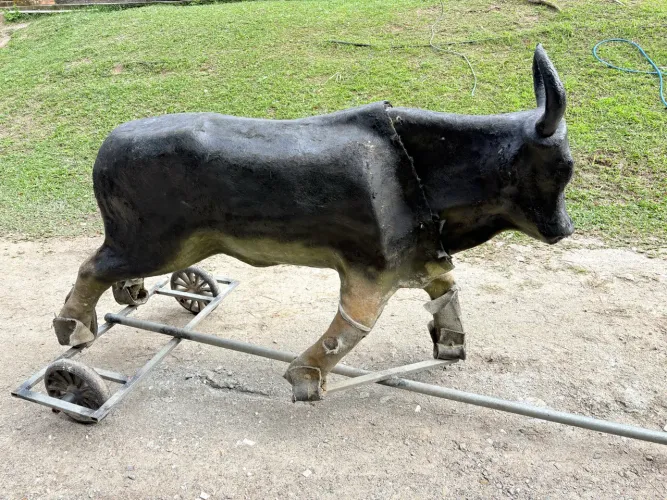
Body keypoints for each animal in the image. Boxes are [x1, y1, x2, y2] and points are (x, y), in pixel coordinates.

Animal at [54, 44, 574, 401]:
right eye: (559, 168)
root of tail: (108, 146)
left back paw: (132, 295)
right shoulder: (369, 273)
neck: (411, 165)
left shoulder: (421, 257)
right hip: (153, 242)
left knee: (111, 270)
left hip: (166, 246)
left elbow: (447, 292)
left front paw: (451, 346)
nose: (564, 230)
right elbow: (351, 329)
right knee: (90, 268)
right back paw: (73, 333)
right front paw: (305, 377)